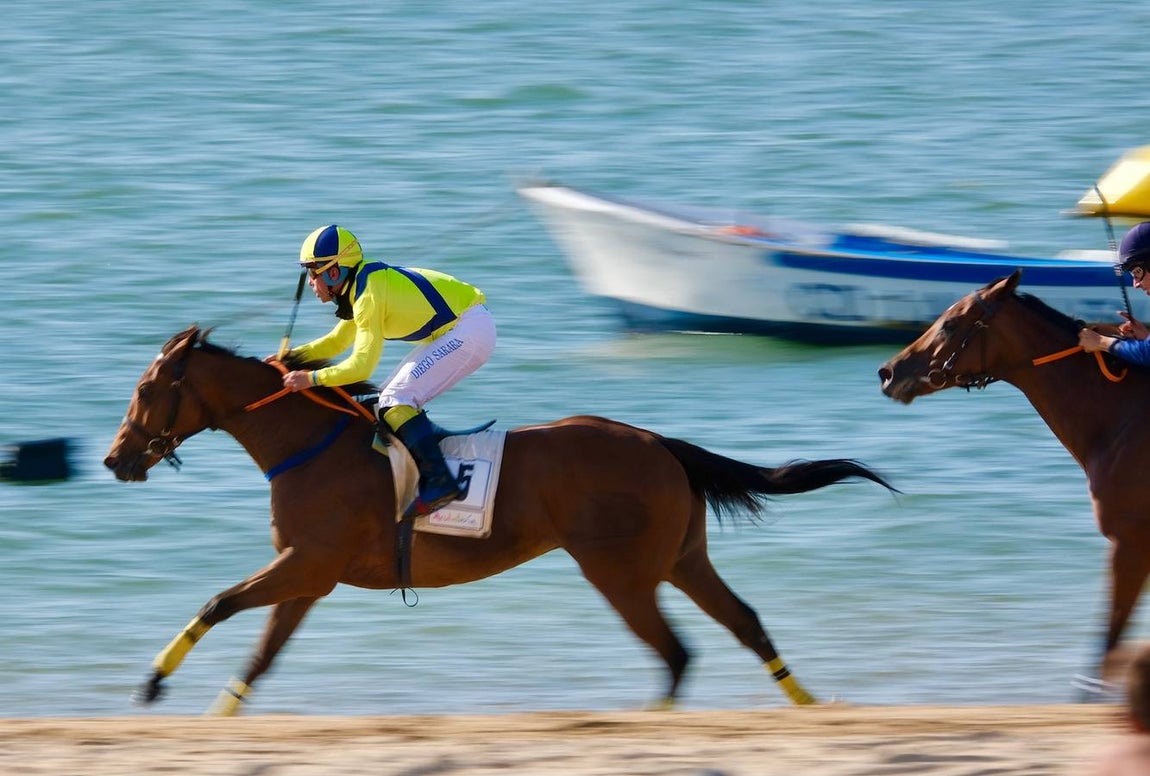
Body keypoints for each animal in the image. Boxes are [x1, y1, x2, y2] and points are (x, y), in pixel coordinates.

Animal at [105, 324, 896, 715]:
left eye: (145, 390)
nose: (116, 459)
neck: (308, 444)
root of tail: (657, 442)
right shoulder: (306, 577)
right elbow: (260, 657)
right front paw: (202, 709)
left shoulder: (306, 563)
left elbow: (218, 602)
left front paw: (151, 684)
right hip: (681, 559)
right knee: (744, 624)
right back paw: (809, 704)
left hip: (621, 574)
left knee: (676, 653)